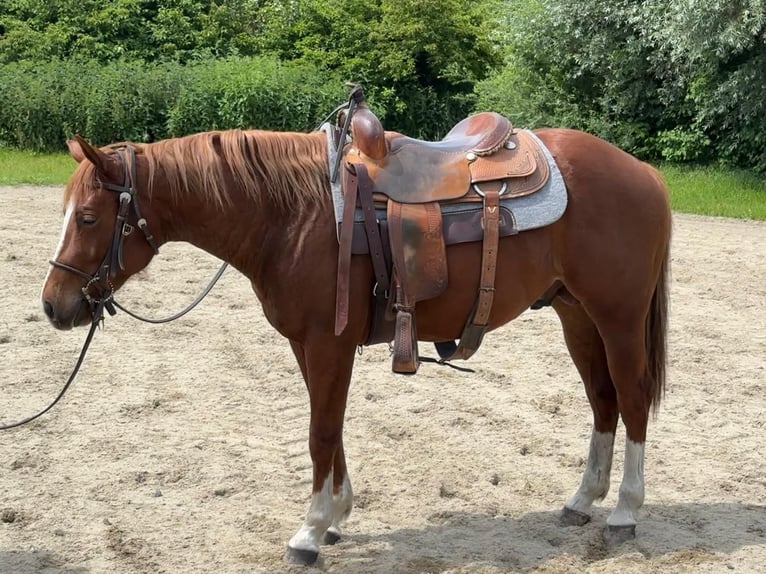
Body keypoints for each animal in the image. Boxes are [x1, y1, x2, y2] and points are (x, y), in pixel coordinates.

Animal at [40, 115, 671, 565]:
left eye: (89, 218)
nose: (53, 304)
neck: (293, 213)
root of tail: (643, 173)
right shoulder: (308, 344)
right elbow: (330, 426)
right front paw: (337, 515)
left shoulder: (327, 342)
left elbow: (320, 432)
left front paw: (309, 531)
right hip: (576, 316)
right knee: (602, 401)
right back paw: (581, 502)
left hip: (616, 317)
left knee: (632, 398)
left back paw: (624, 513)